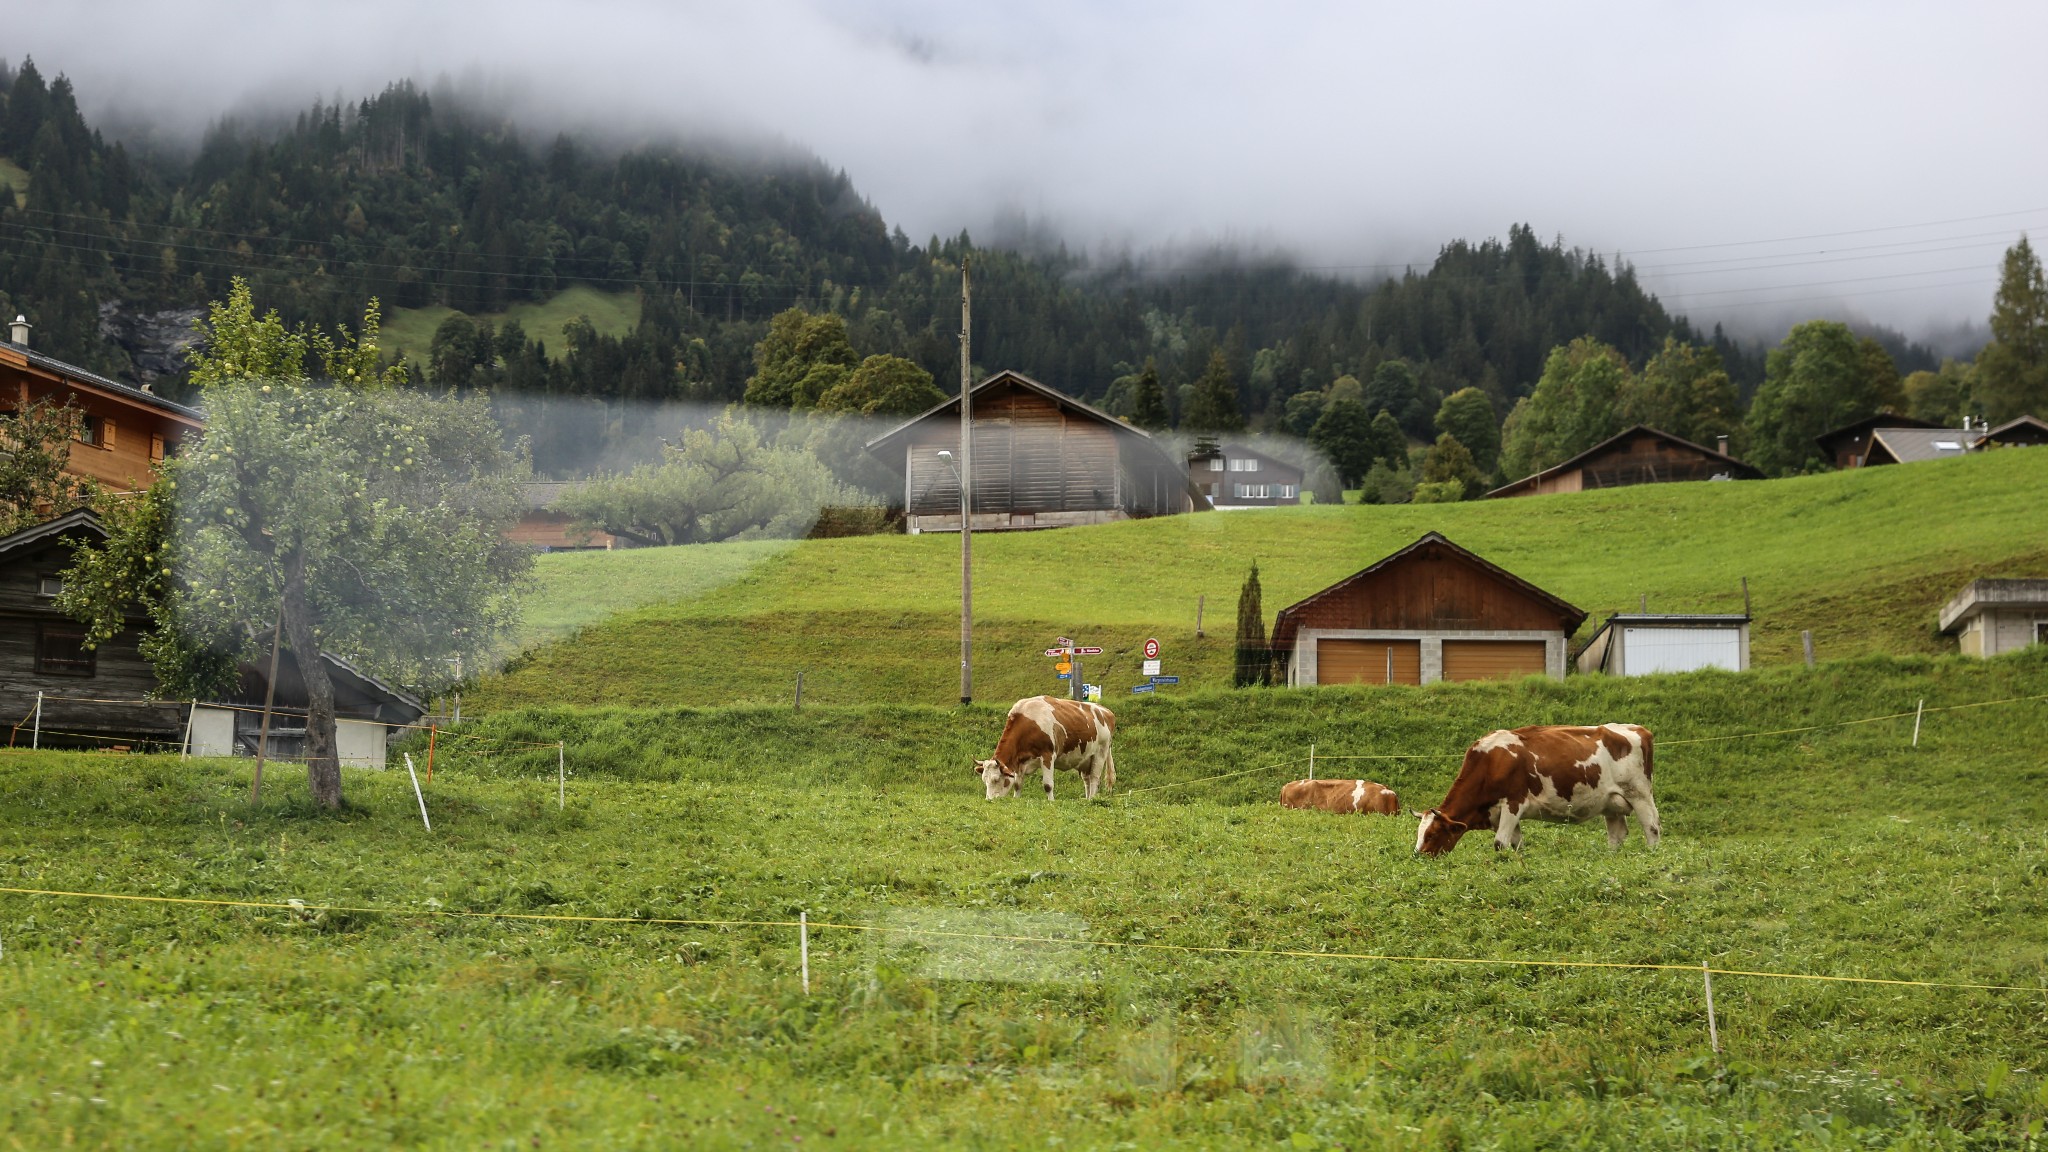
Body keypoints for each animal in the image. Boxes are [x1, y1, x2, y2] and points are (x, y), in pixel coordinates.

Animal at [966, 688, 1114, 799]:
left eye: (996, 779)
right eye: (984, 779)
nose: (989, 800)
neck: (1027, 723)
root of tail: (1105, 711)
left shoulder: (1047, 756)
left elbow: (1048, 785)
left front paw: (1051, 802)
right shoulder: (1020, 762)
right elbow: (1017, 784)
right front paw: (1016, 799)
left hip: (1100, 753)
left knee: (1094, 778)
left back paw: (1092, 800)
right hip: (1085, 759)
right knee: (1087, 779)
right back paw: (1088, 799)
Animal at [1417, 717, 1654, 852]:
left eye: (1432, 835)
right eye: (1419, 834)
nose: (1418, 856)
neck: (1490, 762)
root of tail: (1637, 728)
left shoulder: (1513, 803)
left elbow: (1499, 843)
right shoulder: (1499, 813)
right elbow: (1515, 845)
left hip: (1640, 794)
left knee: (1652, 828)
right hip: (1611, 802)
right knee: (1617, 835)